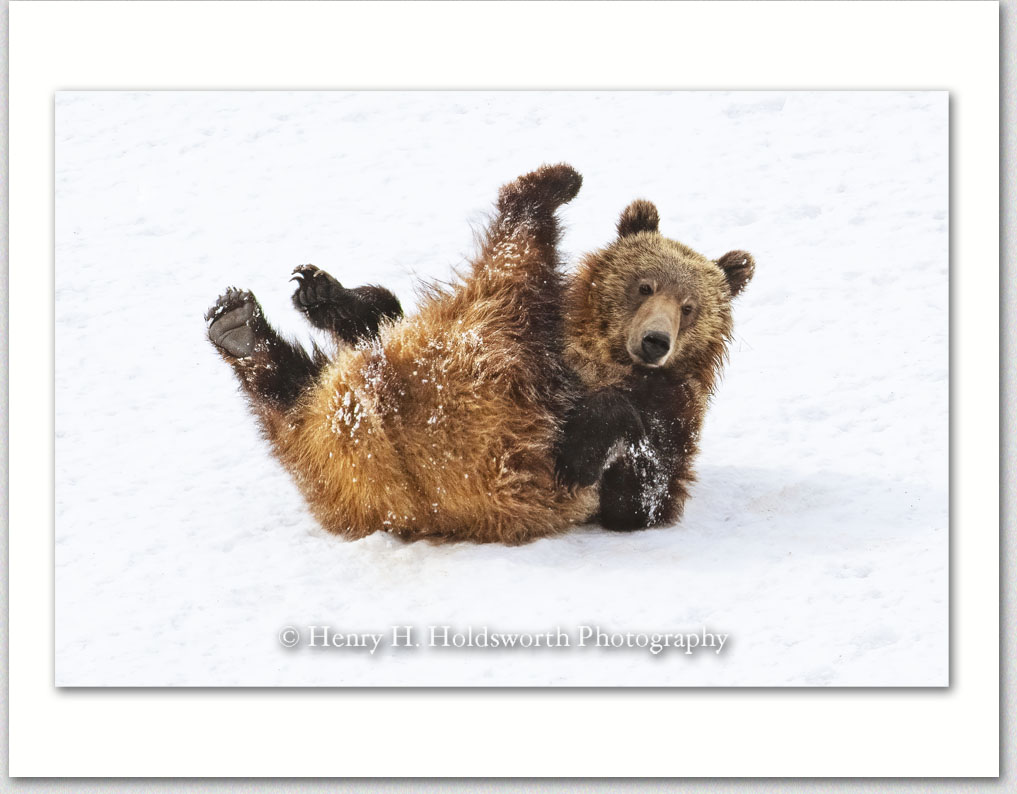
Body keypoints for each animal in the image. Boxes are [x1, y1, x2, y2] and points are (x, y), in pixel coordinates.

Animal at [554, 198, 755, 530]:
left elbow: (643, 493)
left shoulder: (675, 410)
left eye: (688, 307)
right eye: (645, 286)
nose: (655, 341)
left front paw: (577, 462)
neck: (617, 364)